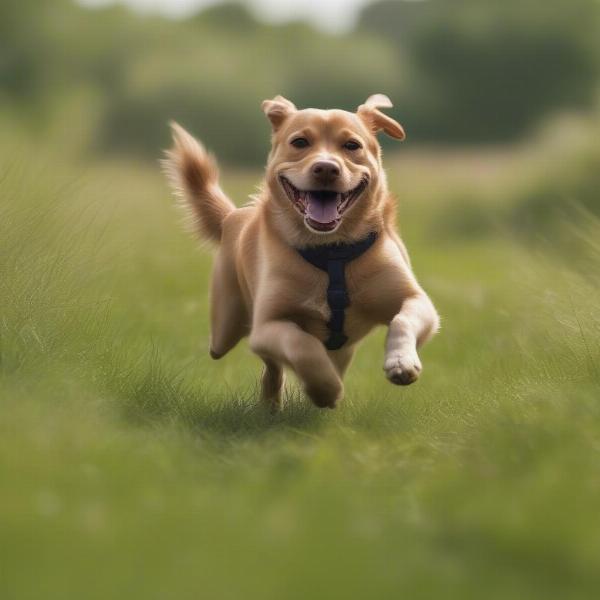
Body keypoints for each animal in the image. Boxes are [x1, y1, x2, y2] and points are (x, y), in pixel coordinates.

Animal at [164, 94, 440, 410]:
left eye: (352, 145)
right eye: (299, 142)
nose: (326, 168)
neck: (331, 252)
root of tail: (232, 217)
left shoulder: (417, 301)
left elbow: (402, 319)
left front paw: (401, 362)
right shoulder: (267, 325)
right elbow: (301, 344)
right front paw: (324, 389)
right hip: (225, 330)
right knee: (266, 364)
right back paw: (273, 402)